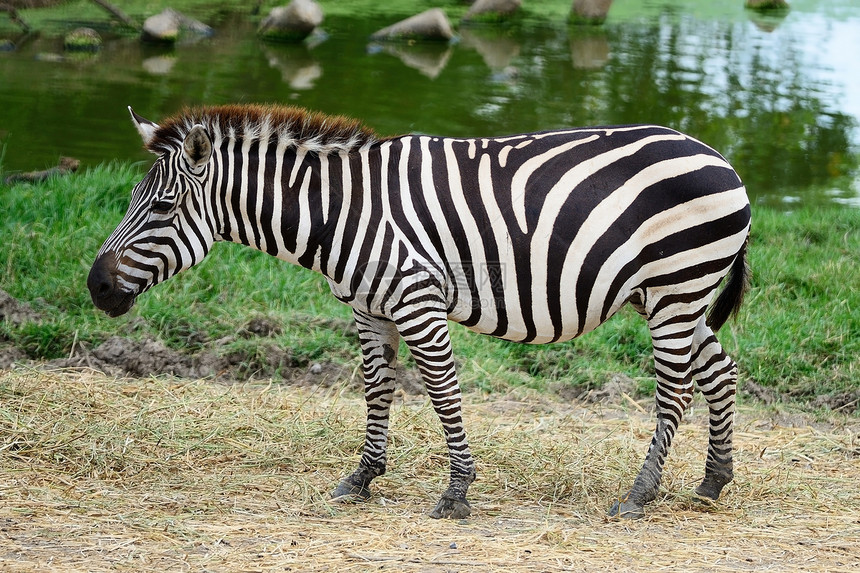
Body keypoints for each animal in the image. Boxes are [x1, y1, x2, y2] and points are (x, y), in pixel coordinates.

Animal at [85, 103, 744, 520]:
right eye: (134, 199)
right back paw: (713, 481)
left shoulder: (415, 299)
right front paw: (364, 477)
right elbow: (377, 390)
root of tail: (719, 156)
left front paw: (457, 493)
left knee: (675, 389)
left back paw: (640, 494)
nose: (96, 288)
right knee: (720, 370)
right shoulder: (368, 309)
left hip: (675, 288)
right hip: (674, 295)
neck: (341, 210)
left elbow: (442, 392)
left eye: (163, 207)